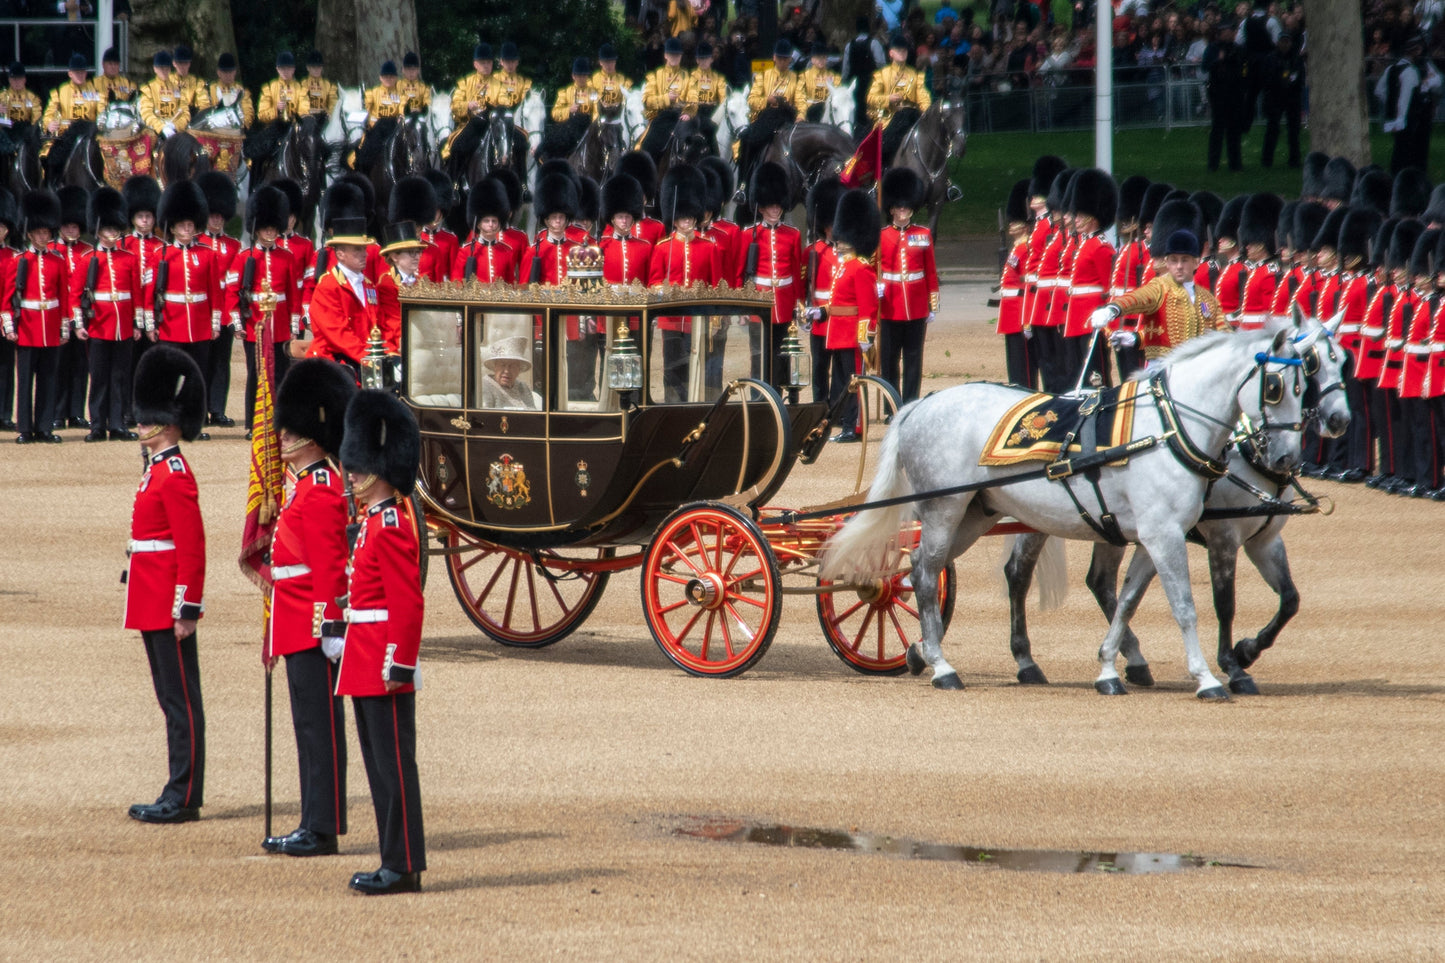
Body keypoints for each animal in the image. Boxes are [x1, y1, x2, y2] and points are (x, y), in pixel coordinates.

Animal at [820, 328, 1317, 696]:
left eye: (1303, 385)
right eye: (1275, 387)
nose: (1288, 458)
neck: (1168, 429)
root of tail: (922, 402)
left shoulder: (1161, 536)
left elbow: (1130, 601)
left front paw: (1110, 669)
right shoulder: (1183, 536)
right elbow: (1189, 606)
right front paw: (1212, 675)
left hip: (975, 513)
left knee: (922, 567)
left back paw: (925, 649)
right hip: (945, 508)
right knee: (925, 572)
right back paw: (943, 667)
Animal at [1005, 310, 1352, 694]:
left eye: (1343, 361)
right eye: (1311, 364)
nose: (1340, 420)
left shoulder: (1264, 540)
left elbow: (1290, 599)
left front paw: (1247, 650)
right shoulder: (1222, 538)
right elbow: (1224, 603)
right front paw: (1233, 665)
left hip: (1108, 524)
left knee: (1101, 583)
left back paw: (1133, 660)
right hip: (1037, 521)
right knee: (1019, 575)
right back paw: (1026, 661)